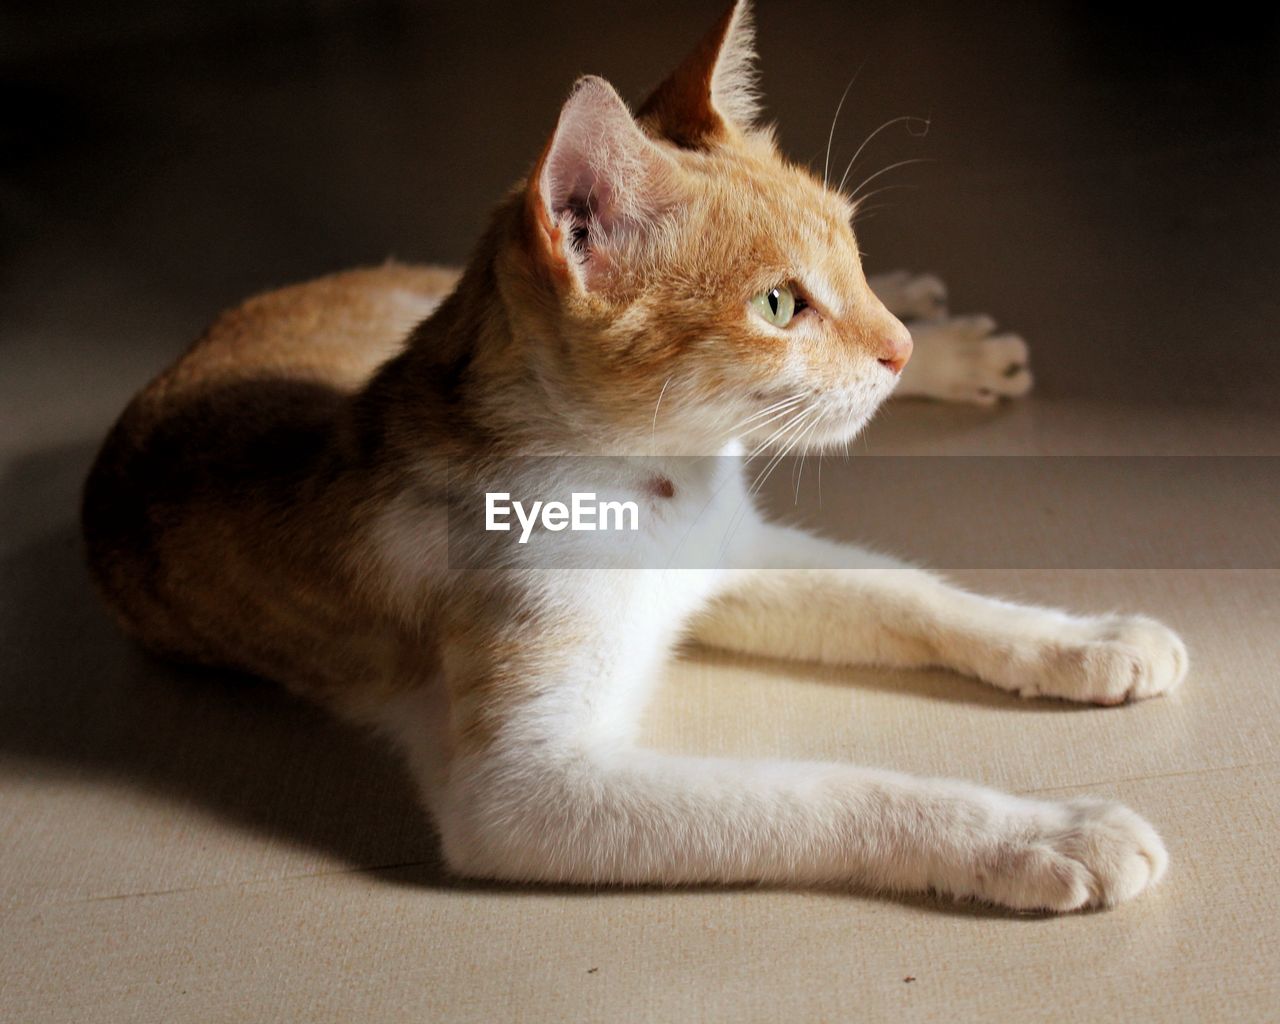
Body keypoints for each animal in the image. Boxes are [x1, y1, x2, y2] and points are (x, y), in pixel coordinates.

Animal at [77, 0, 1177, 911]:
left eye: (849, 249)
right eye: (777, 304)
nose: (893, 347)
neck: (656, 479)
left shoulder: (734, 553)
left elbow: (916, 596)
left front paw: (1089, 639)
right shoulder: (522, 791)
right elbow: (818, 792)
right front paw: (1047, 835)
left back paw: (947, 333)